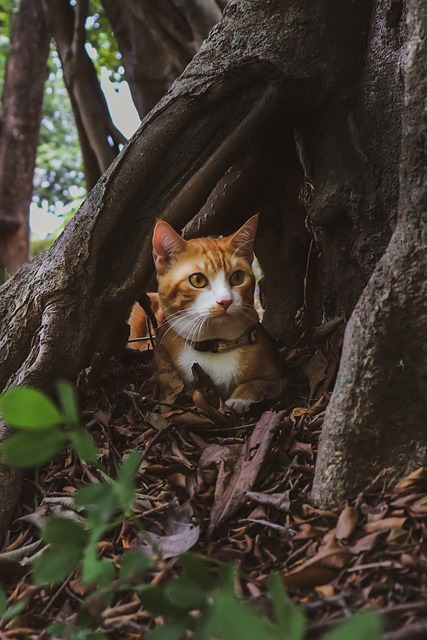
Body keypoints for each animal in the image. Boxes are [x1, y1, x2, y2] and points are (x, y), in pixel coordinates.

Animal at [128, 215, 280, 412]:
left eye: (237, 277)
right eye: (197, 280)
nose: (225, 301)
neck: (215, 345)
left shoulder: (277, 376)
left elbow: (258, 384)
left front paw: (239, 399)